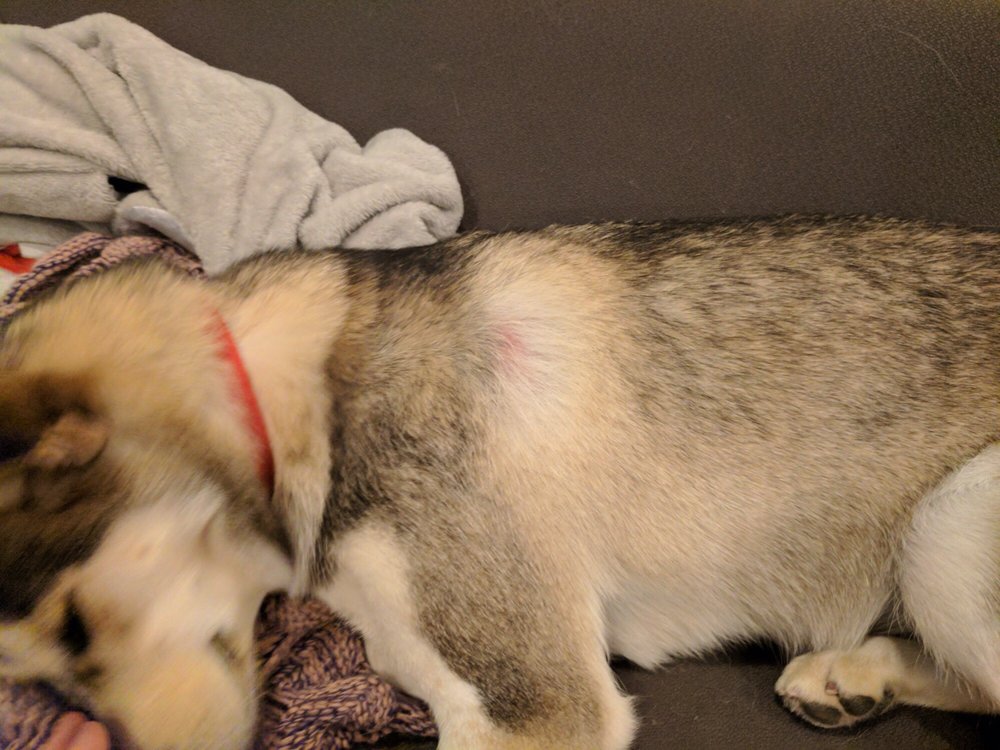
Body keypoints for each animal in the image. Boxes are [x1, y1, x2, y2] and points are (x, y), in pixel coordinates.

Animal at [1, 215, 1000, 749]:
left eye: (77, 625)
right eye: (40, 672)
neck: (295, 393)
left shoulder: (543, 709)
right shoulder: (420, 658)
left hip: (948, 529)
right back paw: (852, 672)